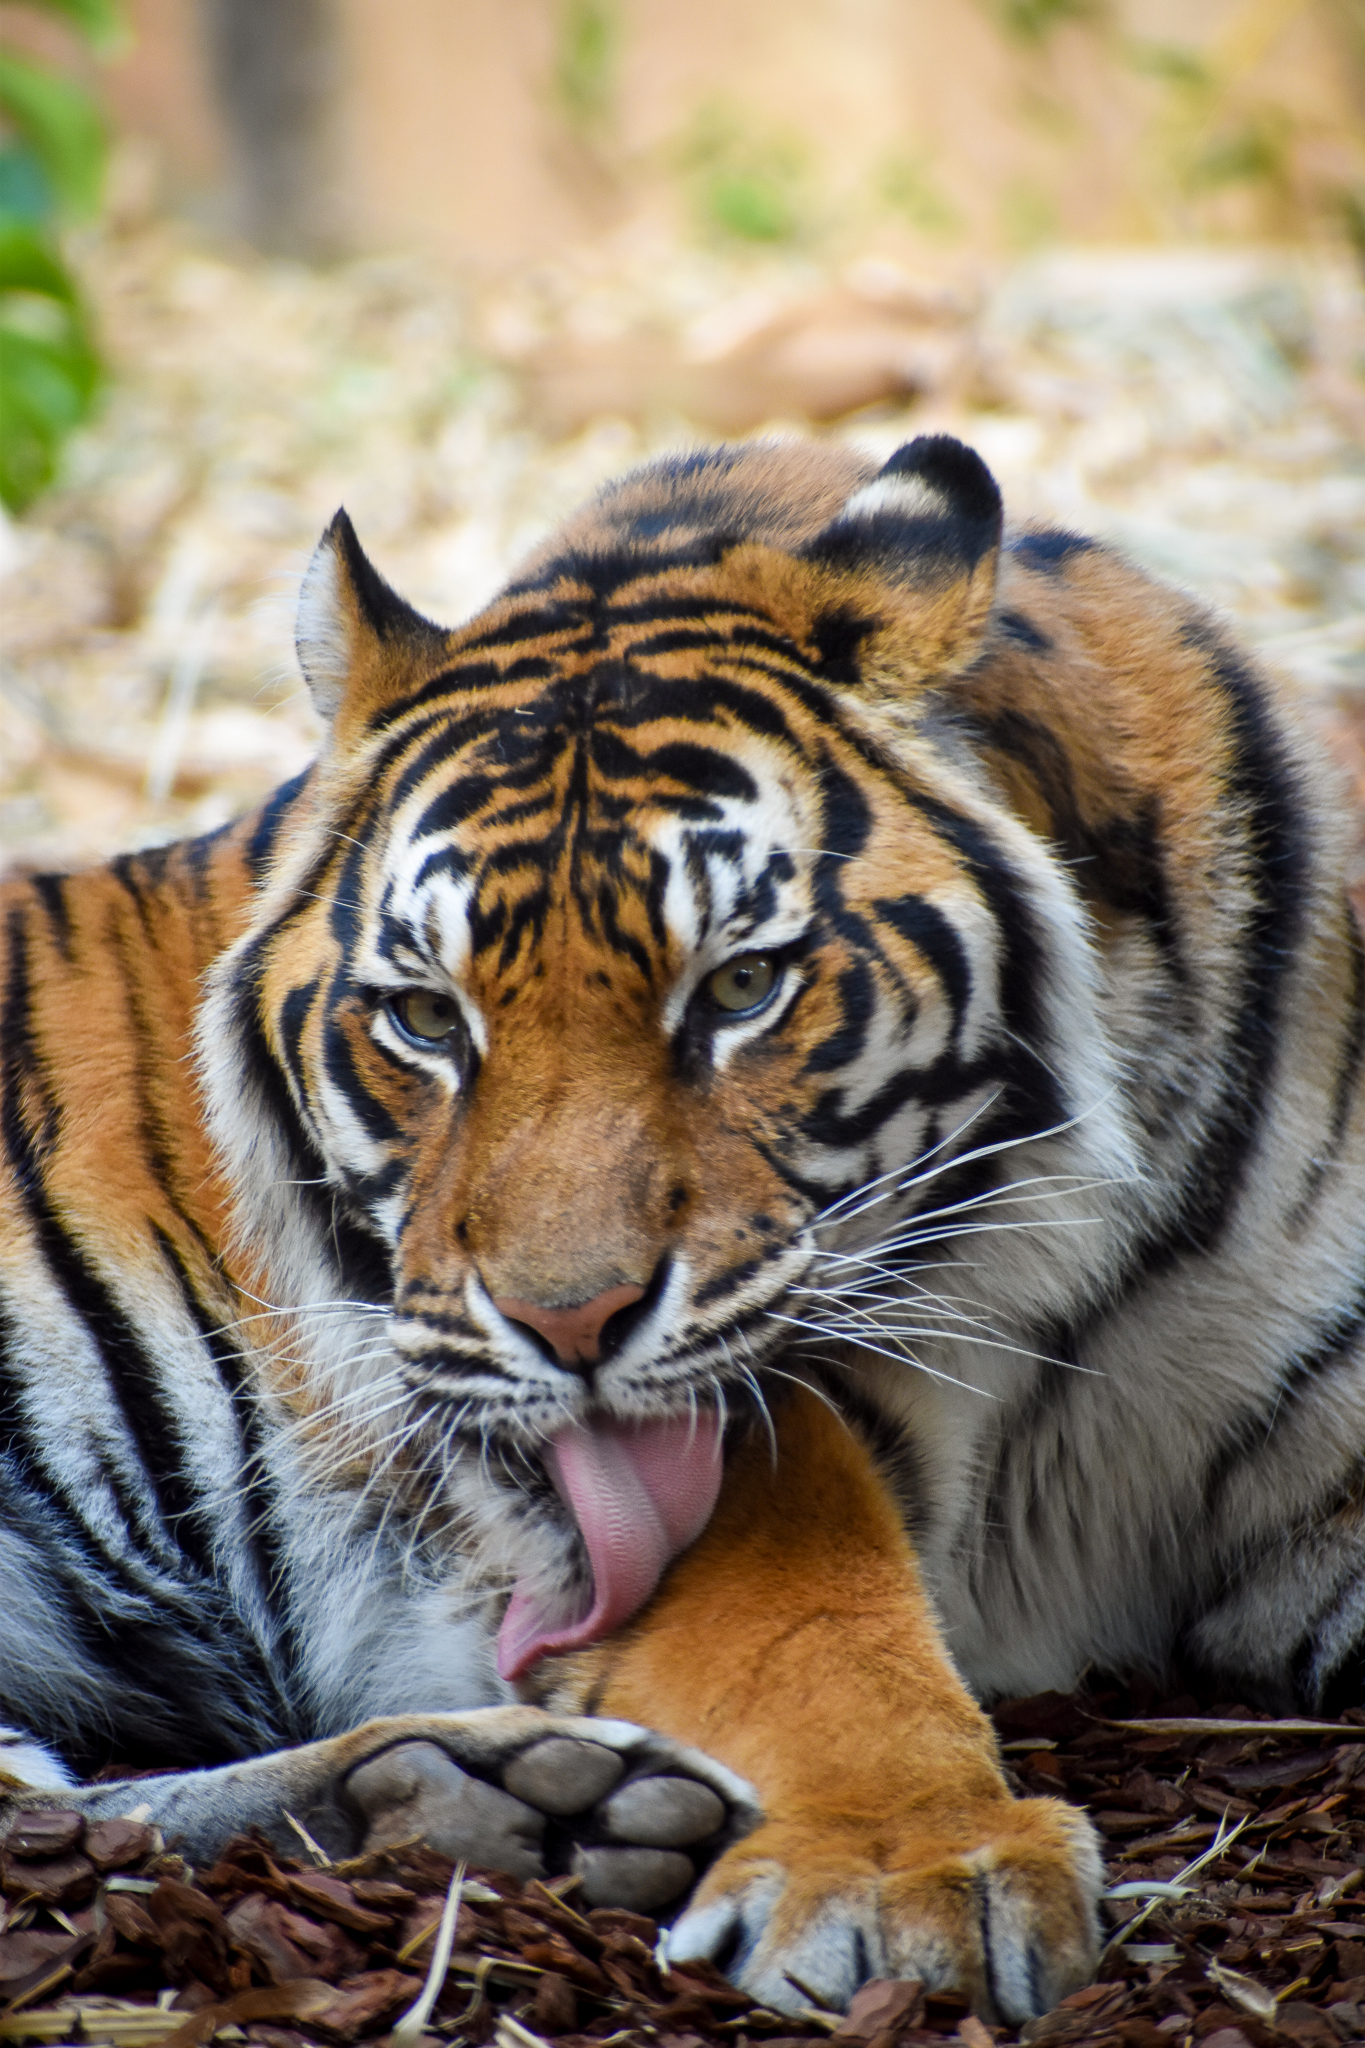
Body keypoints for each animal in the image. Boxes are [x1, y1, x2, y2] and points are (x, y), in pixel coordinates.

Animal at [3, 432, 1364, 2022]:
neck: (1063, 1281)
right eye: (425, 1020)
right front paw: (917, 1868)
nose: (568, 1323)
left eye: (739, 988)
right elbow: (802, 1607)